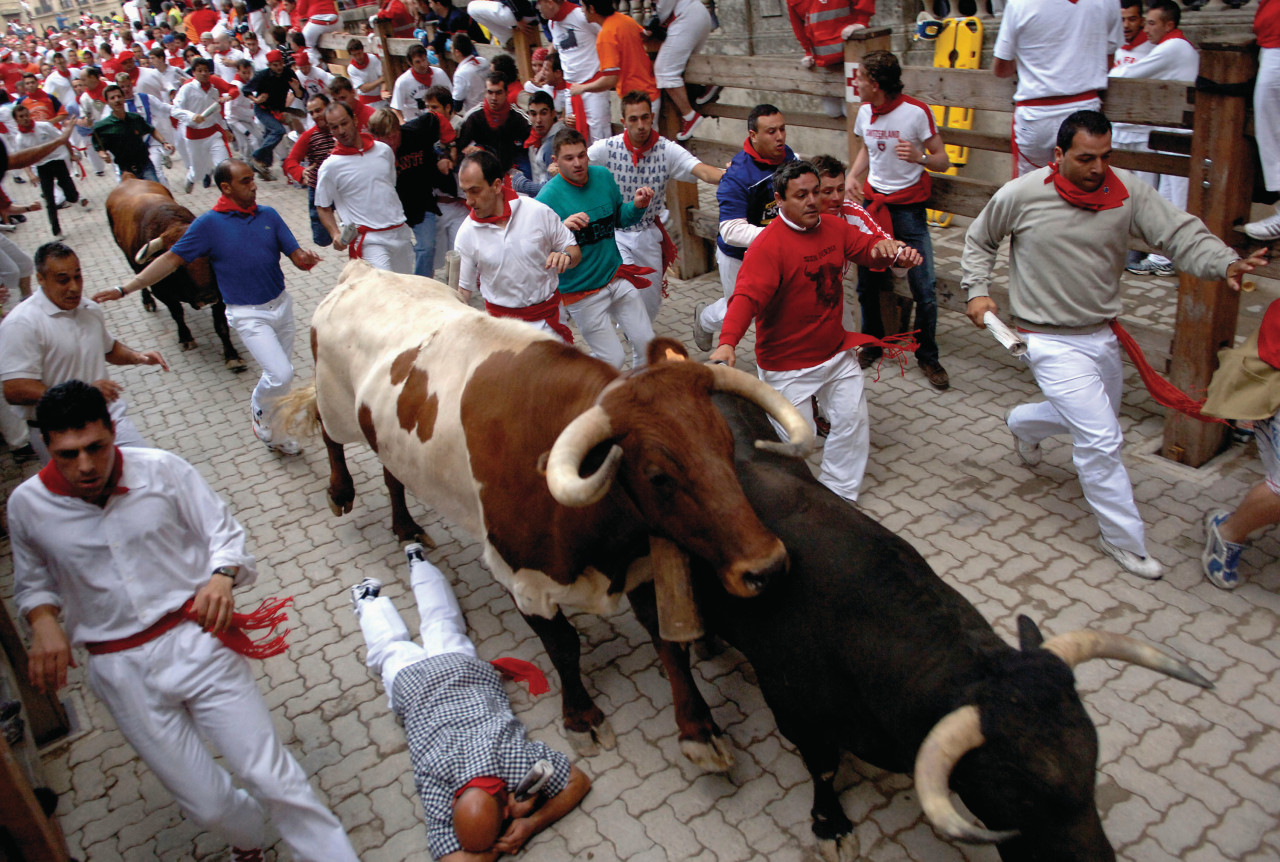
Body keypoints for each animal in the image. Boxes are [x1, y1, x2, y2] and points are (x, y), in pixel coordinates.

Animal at [104, 176, 244, 371]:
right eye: (179, 267)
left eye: (211, 259)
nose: (207, 296)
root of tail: (128, 178)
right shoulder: (163, 293)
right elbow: (177, 313)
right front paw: (186, 337)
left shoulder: (220, 294)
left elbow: (221, 325)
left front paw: (232, 356)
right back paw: (147, 301)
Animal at [284, 260, 814, 768]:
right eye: (658, 475)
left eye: (726, 444)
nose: (767, 566)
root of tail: (364, 272)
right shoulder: (524, 579)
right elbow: (563, 647)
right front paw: (581, 717)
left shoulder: (641, 564)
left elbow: (669, 644)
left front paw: (699, 729)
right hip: (336, 402)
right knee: (329, 433)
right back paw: (341, 491)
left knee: (392, 472)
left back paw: (405, 525)